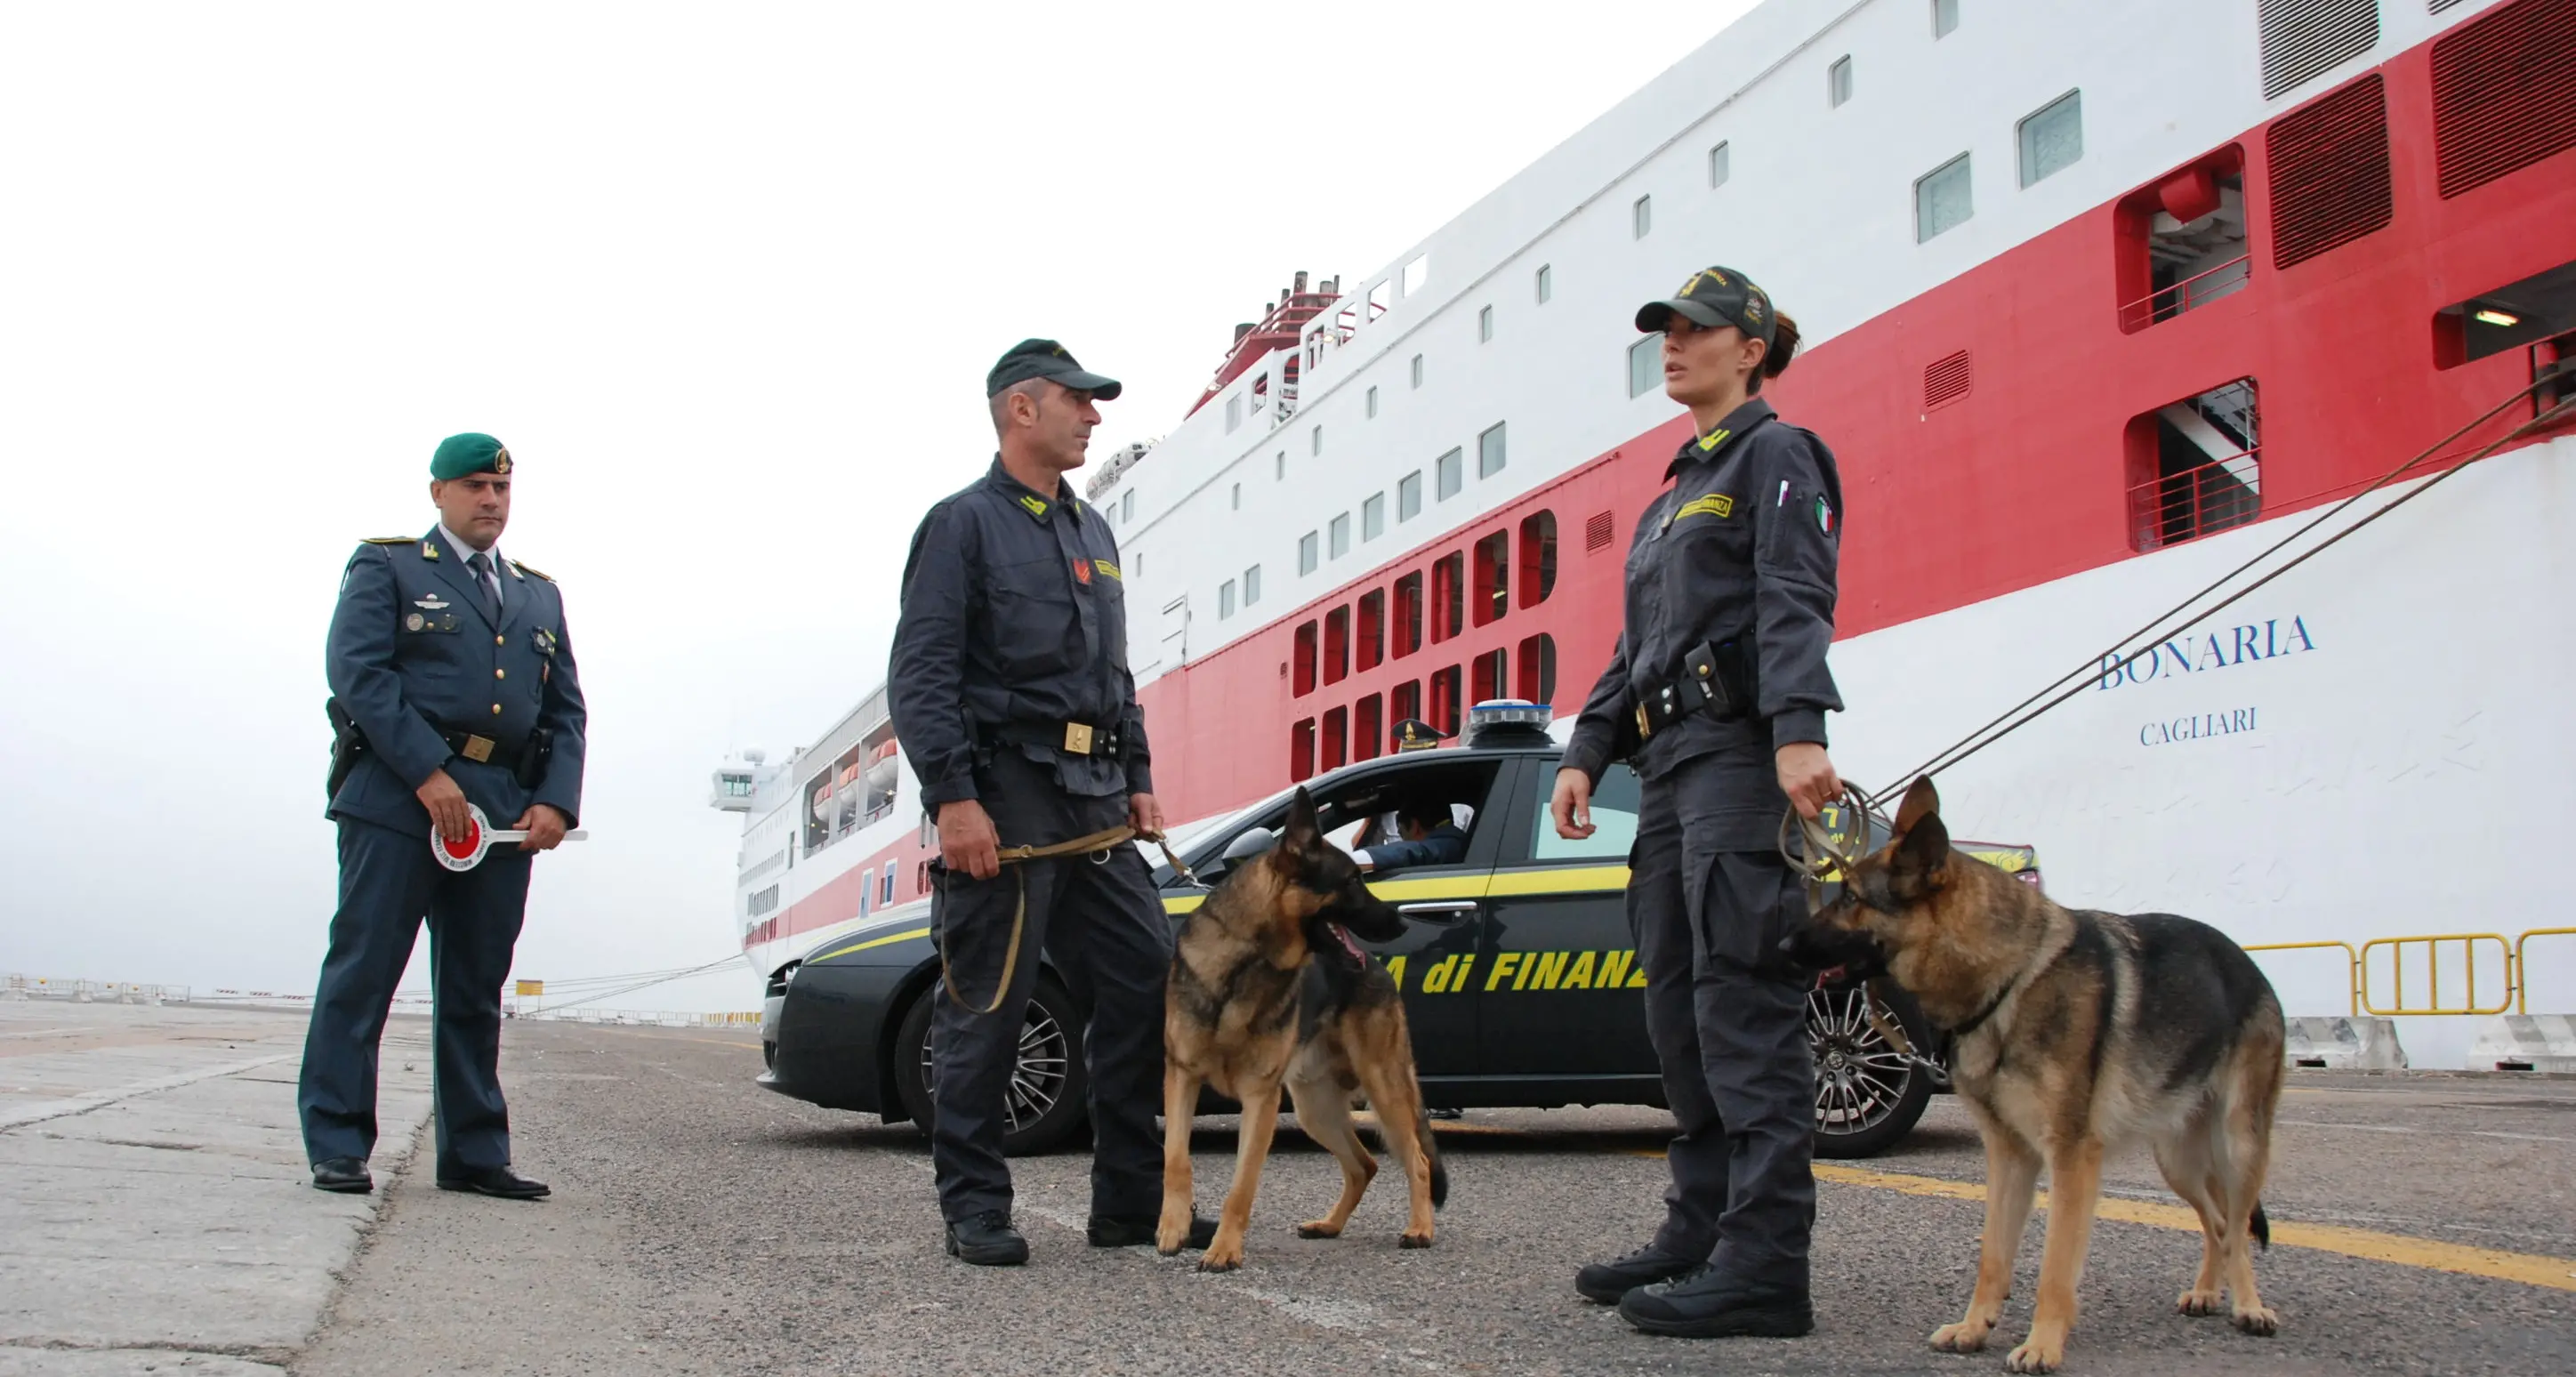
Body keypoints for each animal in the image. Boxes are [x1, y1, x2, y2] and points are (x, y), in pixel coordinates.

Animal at [1154, 787, 1442, 1271]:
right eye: (1352, 881)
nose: (1402, 921)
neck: (1246, 962)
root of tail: (1379, 972)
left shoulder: (1260, 1099)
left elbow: (1242, 1186)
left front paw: (1225, 1250)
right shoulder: (1181, 1078)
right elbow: (1176, 1160)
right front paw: (1173, 1228)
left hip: (1383, 1088)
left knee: (1417, 1160)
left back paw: (1420, 1228)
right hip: (1315, 1109)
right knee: (1364, 1165)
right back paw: (1330, 1225)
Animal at [1792, 782, 2277, 1369]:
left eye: (1849, 897)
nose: (1782, 945)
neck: (2009, 976)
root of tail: (2244, 959)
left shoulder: (2069, 1159)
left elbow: (2054, 1268)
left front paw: (2043, 1345)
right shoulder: (2010, 1155)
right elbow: (1993, 1255)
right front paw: (1974, 1328)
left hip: (2238, 1143)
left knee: (2238, 1223)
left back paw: (2248, 1305)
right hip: (2177, 1158)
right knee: (2220, 1222)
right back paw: (2208, 1291)